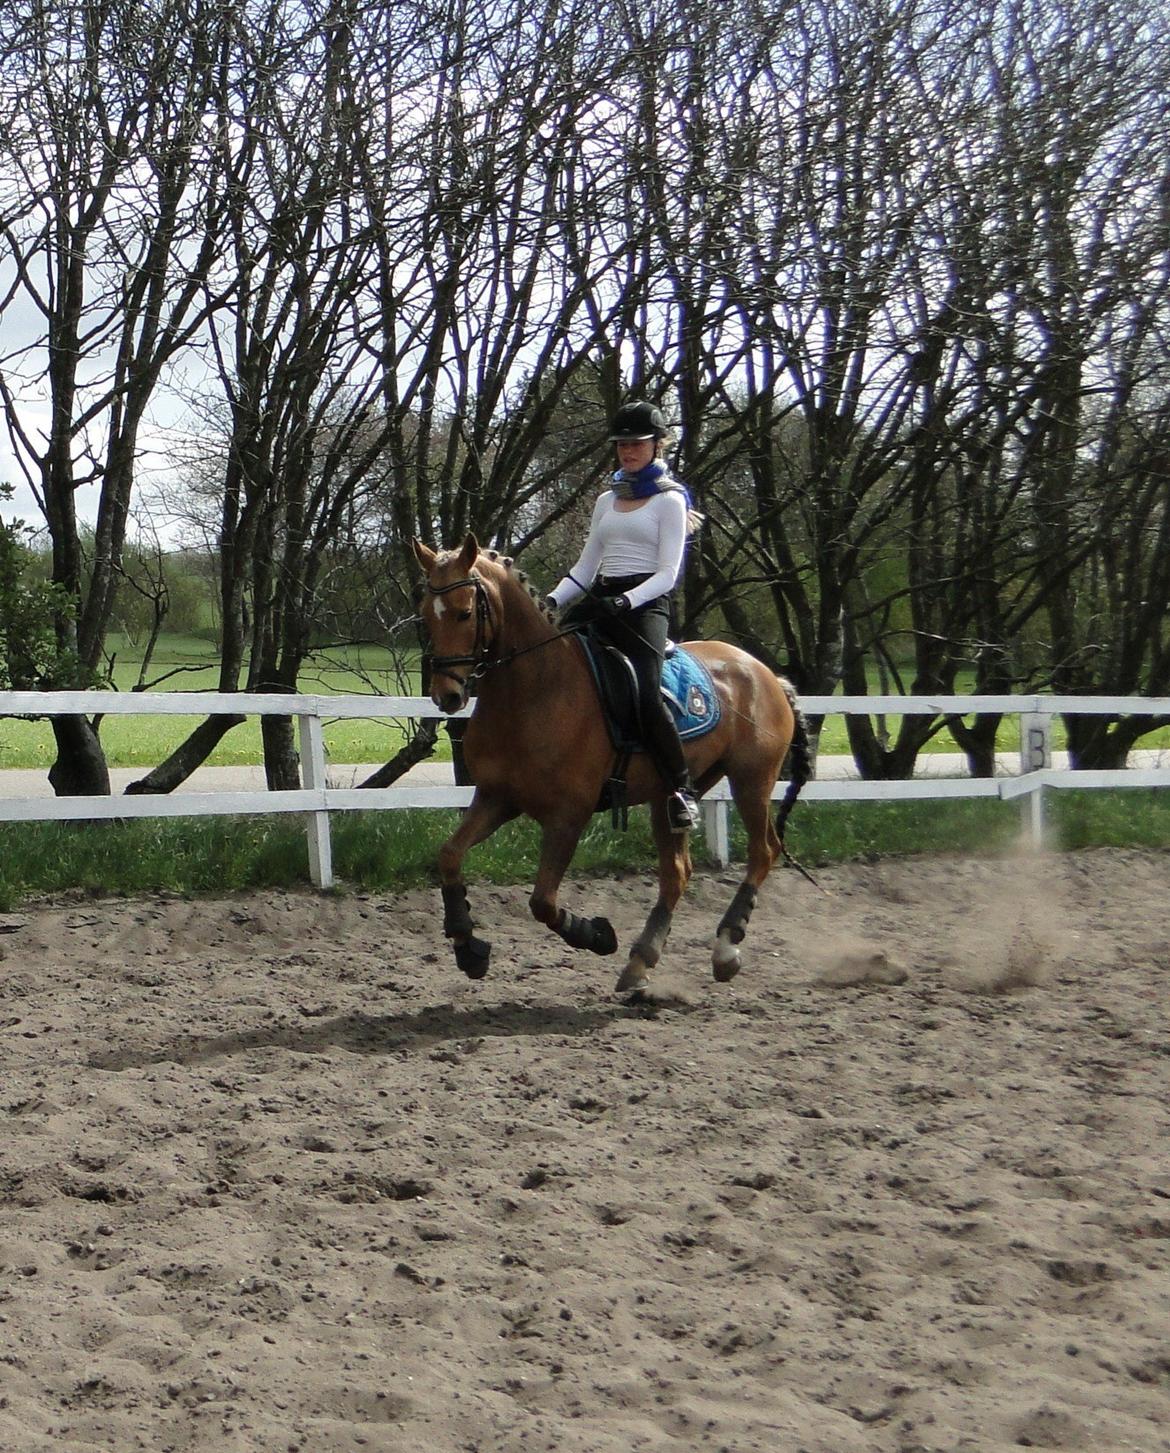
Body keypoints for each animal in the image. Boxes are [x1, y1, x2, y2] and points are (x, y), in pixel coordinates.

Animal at [412, 537, 813, 999]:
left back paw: (726, 949)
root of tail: (767, 674)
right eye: (426, 615)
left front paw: (599, 935)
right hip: (669, 794)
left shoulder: (568, 816)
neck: (535, 689)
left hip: (752, 781)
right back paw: (641, 962)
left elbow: (542, 902)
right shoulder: (496, 799)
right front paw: (467, 946)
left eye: (464, 612)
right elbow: (449, 856)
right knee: (677, 873)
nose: (446, 695)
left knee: (763, 852)